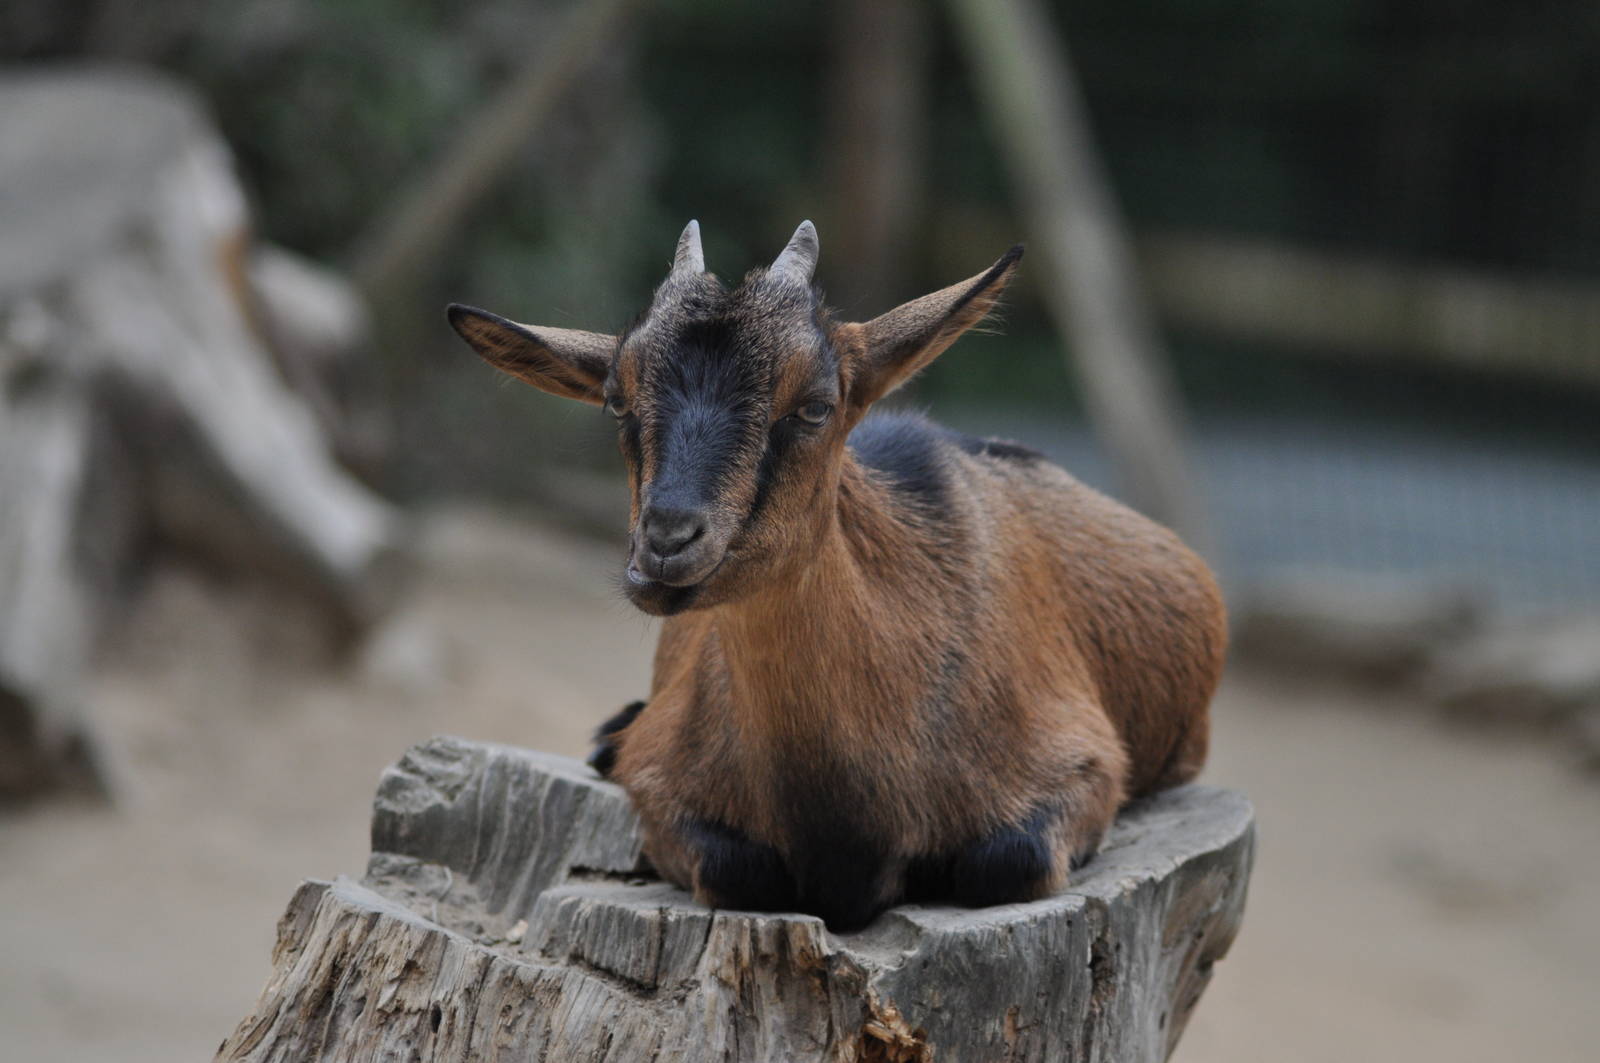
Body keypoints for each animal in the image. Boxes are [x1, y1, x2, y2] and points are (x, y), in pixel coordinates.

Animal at [448, 221, 1227, 931]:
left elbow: (1008, 859)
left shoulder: (1085, 760)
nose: (666, 541)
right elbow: (735, 868)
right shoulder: (660, 779)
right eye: (616, 400)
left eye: (815, 406)